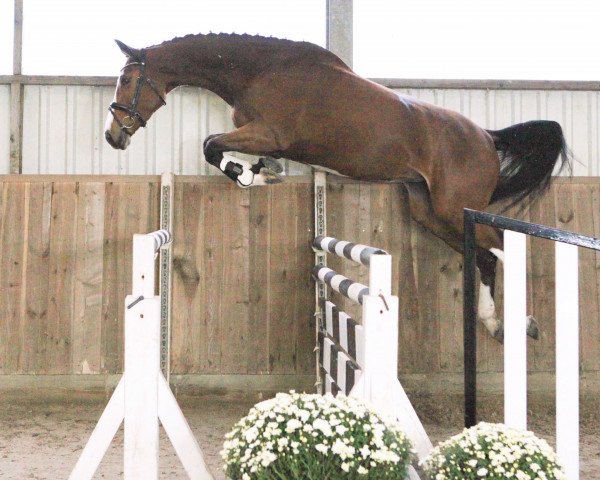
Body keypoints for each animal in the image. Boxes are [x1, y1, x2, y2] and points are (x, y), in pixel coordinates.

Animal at [105, 32, 568, 342]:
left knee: (501, 249)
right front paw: (261, 171)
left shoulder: (268, 133)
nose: (113, 137)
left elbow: (210, 144)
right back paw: (493, 322)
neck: (262, 71)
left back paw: (523, 322)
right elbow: (213, 146)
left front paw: (253, 174)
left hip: (456, 207)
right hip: (431, 214)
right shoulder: (260, 135)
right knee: (484, 257)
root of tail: (487, 137)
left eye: (127, 80)